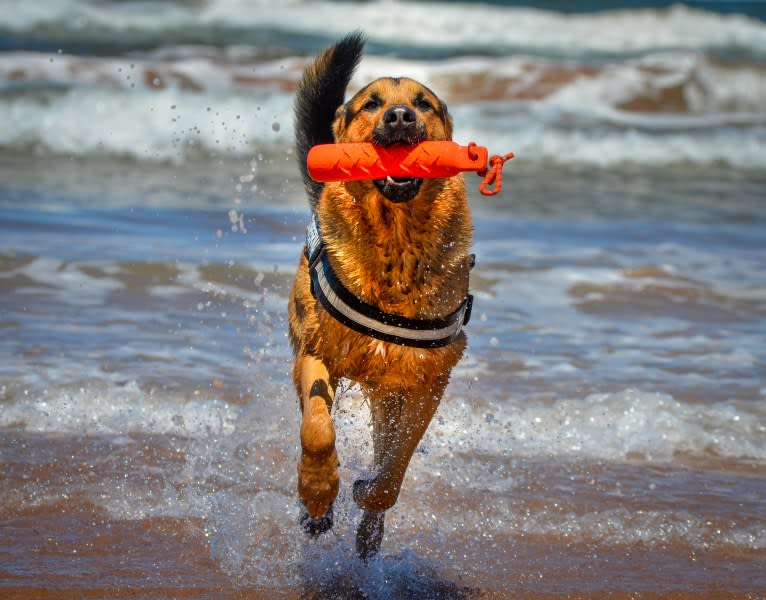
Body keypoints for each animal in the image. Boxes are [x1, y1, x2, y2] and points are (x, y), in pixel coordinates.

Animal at [288, 31, 474, 556]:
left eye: (423, 103)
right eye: (371, 103)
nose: (400, 117)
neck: (395, 239)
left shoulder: (427, 382)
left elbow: (394, 467)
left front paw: (367, 494)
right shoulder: (314, 353)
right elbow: (317, 428)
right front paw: (318, 492)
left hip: (388, 395)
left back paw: (369, 530)